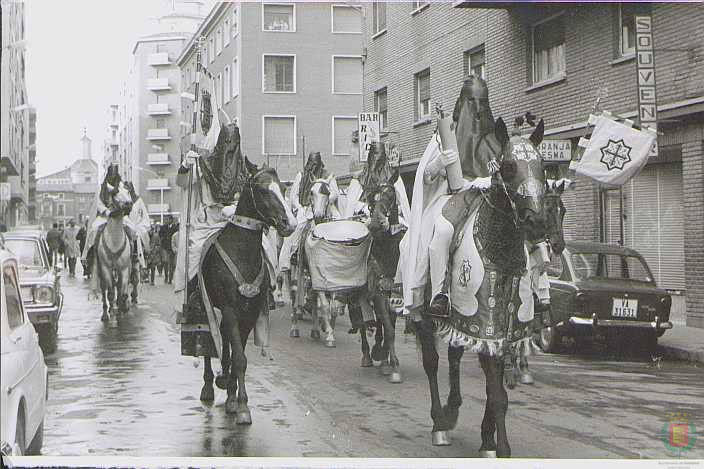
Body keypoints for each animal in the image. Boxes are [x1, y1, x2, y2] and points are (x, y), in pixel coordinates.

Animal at [199, 159, 296, 422]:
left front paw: (234, 398)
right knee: (208, 339)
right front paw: (242, 407)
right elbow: (239, 358)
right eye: (262, 190)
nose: (290, 224)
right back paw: (208, 386)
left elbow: (238, 356)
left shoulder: (250, 311)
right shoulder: (231, 309)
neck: (241, 251)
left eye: (283, 189)